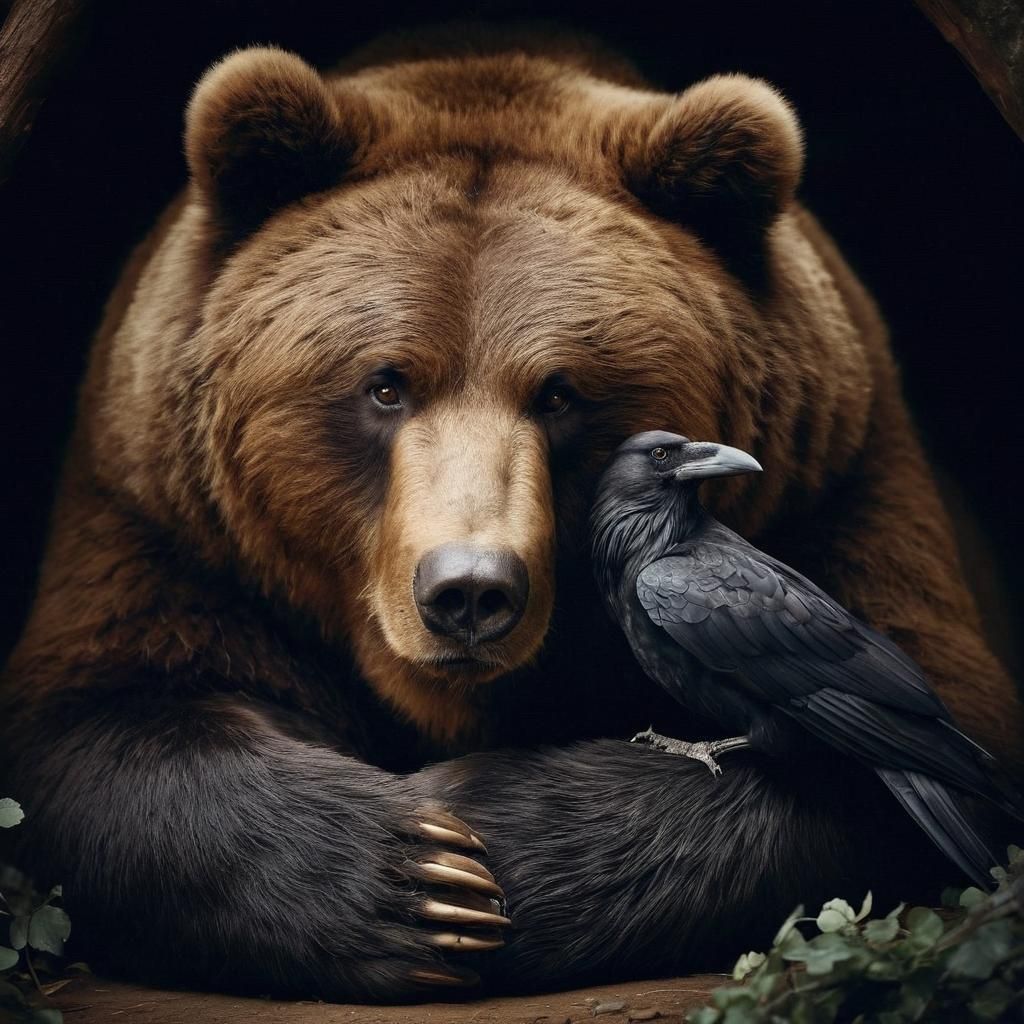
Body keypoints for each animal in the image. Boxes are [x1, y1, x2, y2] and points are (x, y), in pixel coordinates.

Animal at [2, 22, 1021, 1002]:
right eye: (385, 384)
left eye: (561, 393)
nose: (468, 590)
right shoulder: (166, 522)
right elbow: (105, 728)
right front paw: (420, 876)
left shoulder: (835, 484)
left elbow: (900, 731)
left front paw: (487, 835)